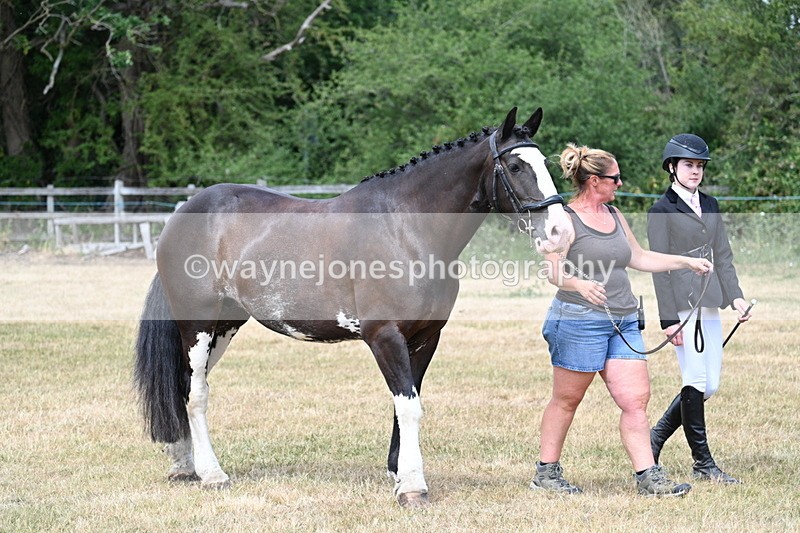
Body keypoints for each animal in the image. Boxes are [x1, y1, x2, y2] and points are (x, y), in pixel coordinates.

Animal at [133, 107, 574, 508]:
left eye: (546, 164)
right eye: (515, 165)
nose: (560, 232)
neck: (406, 228)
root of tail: (182, 214)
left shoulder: (425, 338)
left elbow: (406, 404)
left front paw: (398, 473)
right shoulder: (384, 337)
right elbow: (409, 407)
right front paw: (412, 487)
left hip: (224, 326)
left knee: (184, 385)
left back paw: (184, 465)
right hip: (197, 324)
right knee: (196, 393)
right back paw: (212, 474)